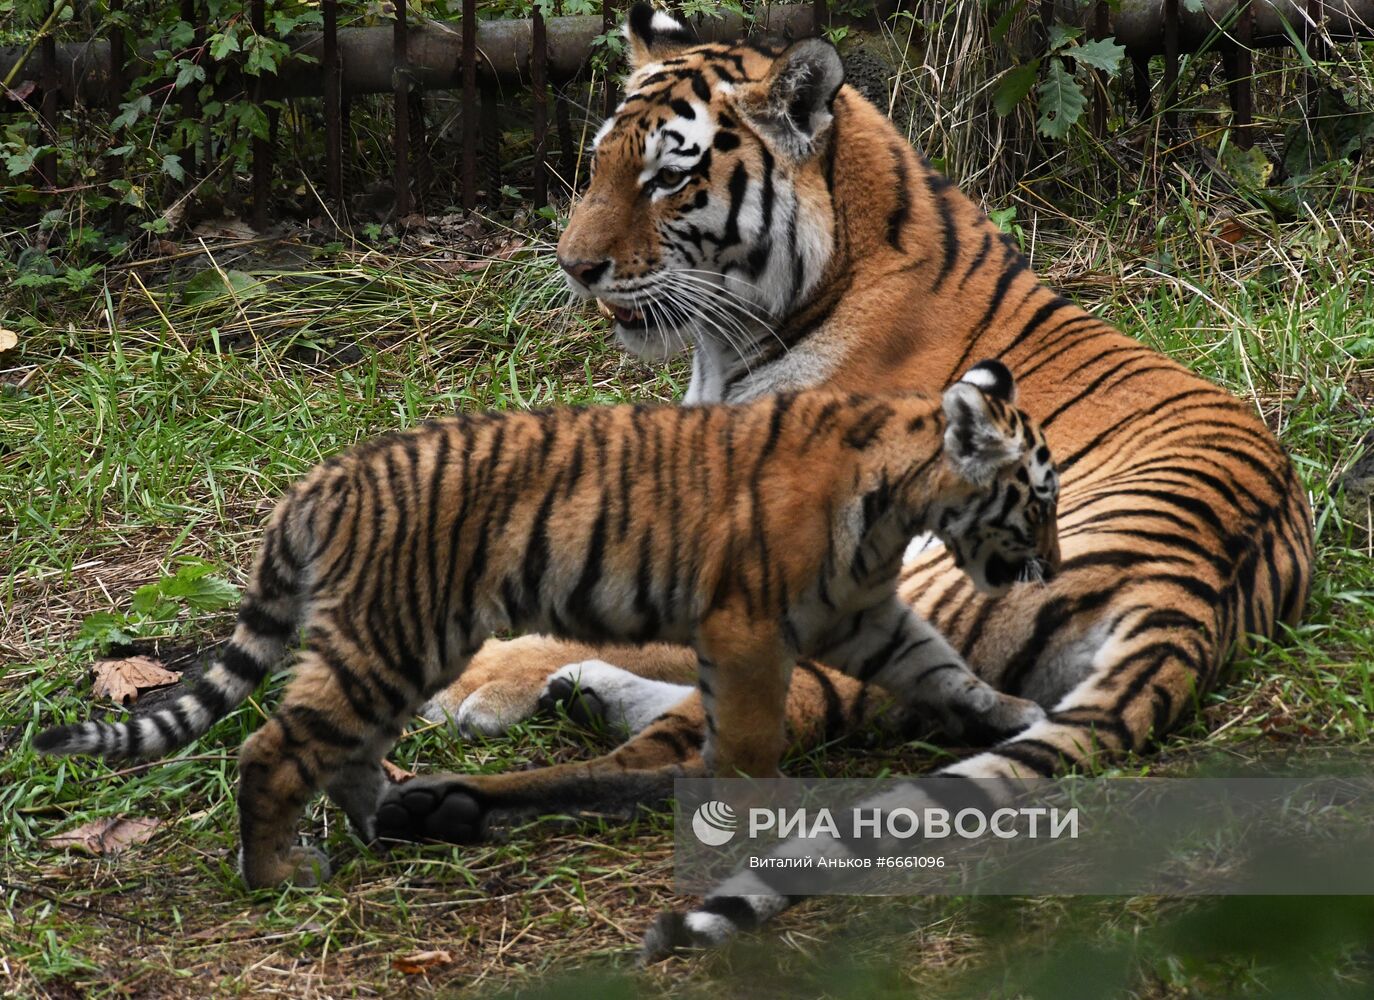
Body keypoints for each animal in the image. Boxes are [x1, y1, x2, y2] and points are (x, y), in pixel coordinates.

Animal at [373, 5, 1308, 961]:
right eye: (597, 166)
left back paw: (444, 796)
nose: (574, 266)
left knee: (728, 743)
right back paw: (577, 699)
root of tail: (1193, 593)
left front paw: (476, 676)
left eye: (668, 177)